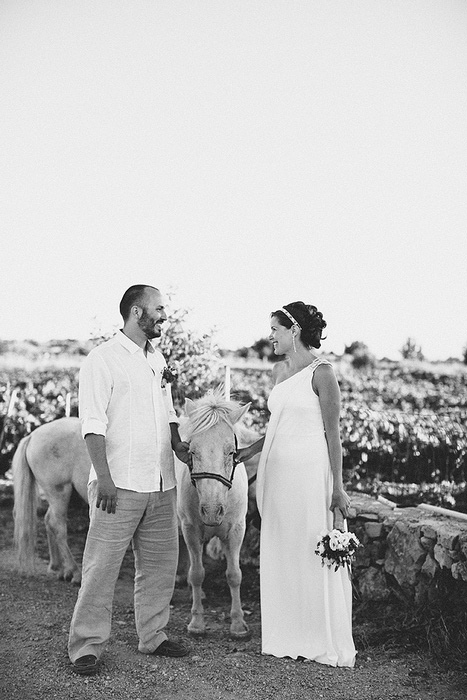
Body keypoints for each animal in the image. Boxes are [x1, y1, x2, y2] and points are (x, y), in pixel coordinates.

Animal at [177, 392, 252, 644]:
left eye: (231, 452)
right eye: (192, 451)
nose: (211, 510)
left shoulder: (237, 530)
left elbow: (234, 575)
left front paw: (238, 624)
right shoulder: (190, 529)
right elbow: (197, 573)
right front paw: (197, 623)